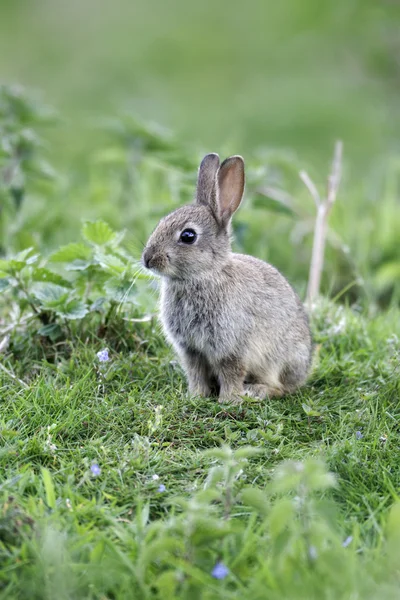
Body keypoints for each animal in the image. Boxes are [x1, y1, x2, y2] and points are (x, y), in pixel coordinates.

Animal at [142, 152, 314, 406]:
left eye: (188, 236)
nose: (147, 259)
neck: (203, 275)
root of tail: (304, 371)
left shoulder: (232, 346)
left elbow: (231, 371)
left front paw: (228, 400)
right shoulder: (191, 350)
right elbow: (196, 373)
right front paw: (195, 396)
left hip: (278, 360)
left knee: (280, 388)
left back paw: (256, 392)